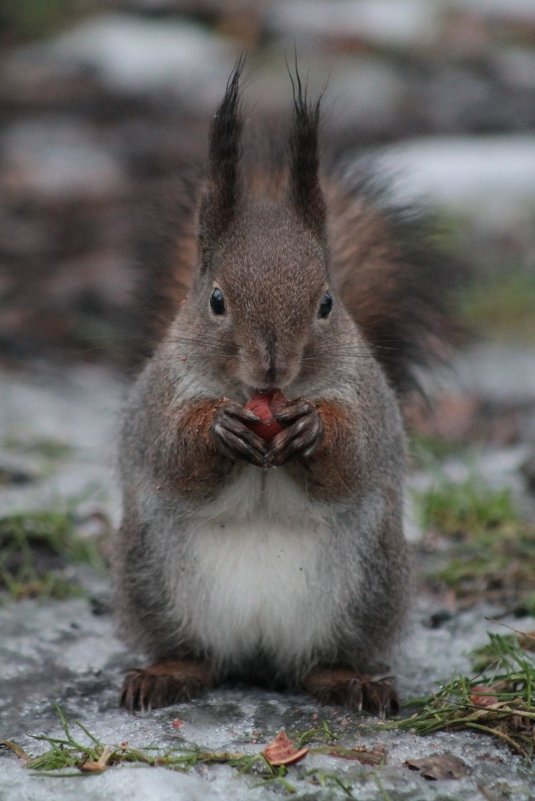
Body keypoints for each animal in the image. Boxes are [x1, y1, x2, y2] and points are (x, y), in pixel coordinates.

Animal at [113, 59, 456, 716]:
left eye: (326, 303)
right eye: (216, 300)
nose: (273, 368)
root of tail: (257, 653)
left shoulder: (365, 400)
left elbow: (354, 458)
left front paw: (312, 429)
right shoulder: (160, 398)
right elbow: (173, 458)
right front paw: (218, 430)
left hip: (370, 586)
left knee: (318, 662)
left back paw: (348, 681)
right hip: (151, 577)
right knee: (197, 653)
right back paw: (168, 672)